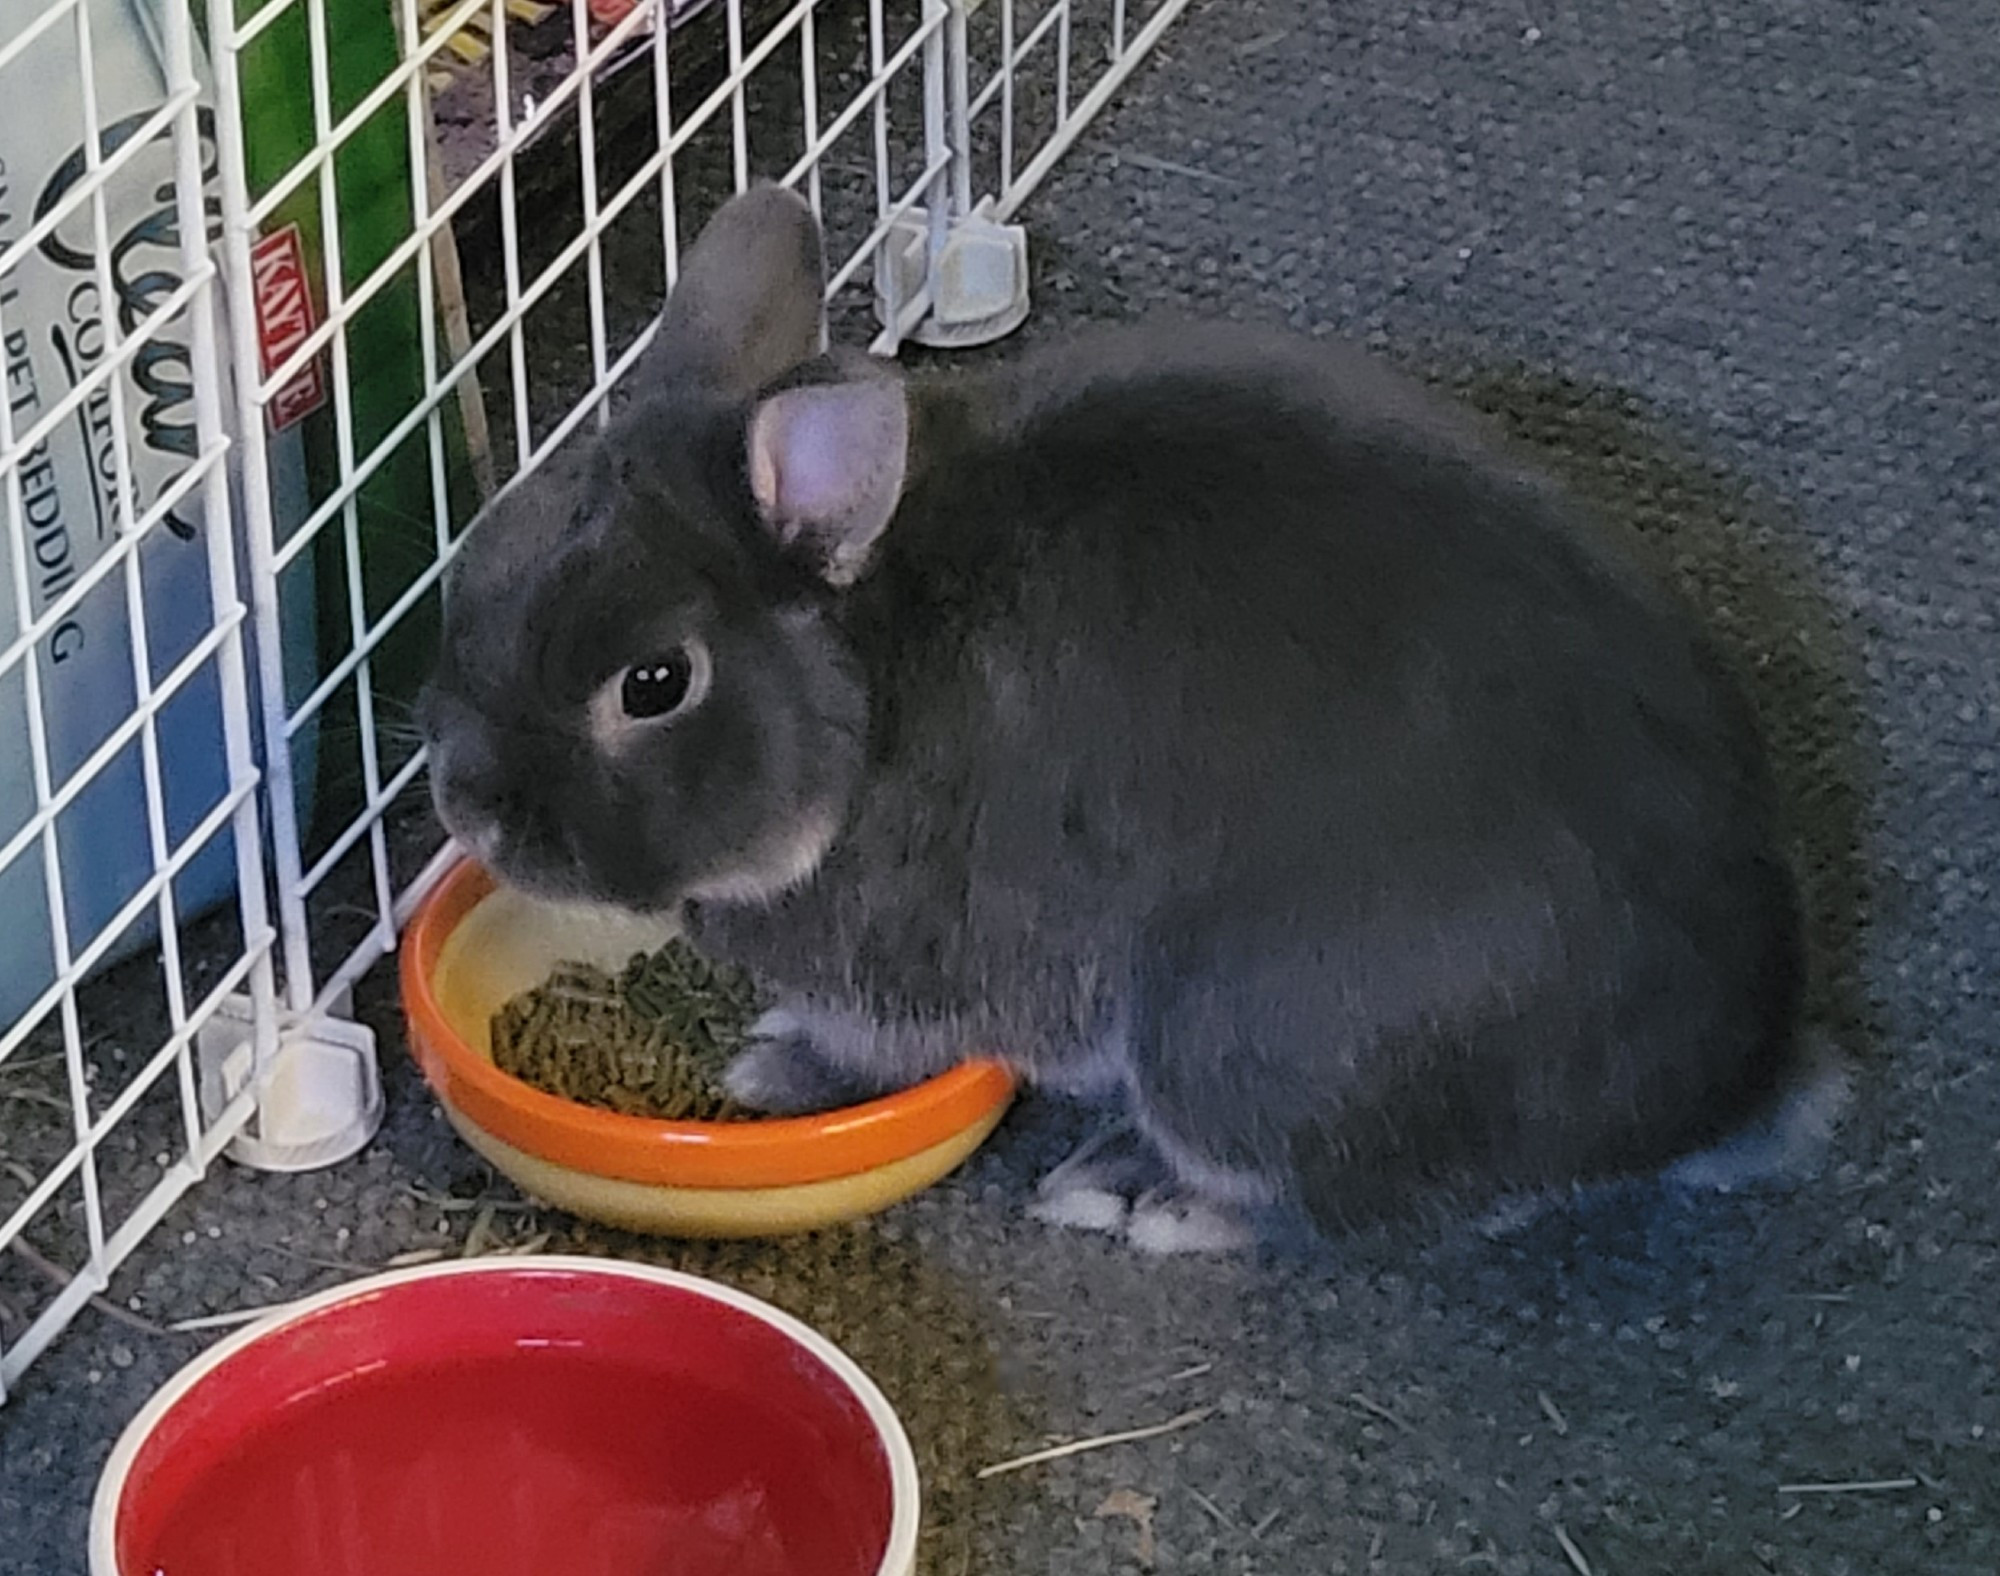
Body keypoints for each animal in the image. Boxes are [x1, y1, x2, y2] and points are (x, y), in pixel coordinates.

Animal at [422, 185, 1840, 1248]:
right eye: (480, 569)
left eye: (654, 683)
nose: (465, 803)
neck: (870, 684)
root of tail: (1737, 1080)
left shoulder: (926, 959)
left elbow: (869, 1042)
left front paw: (771, 1070)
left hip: (1237, 1041)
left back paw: (1133, 1192)